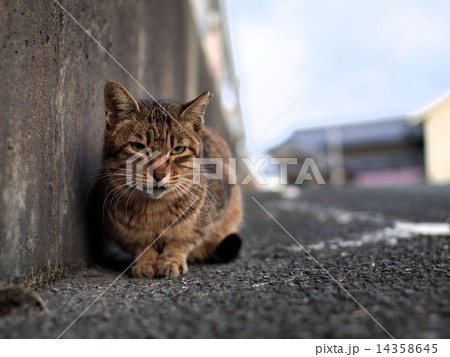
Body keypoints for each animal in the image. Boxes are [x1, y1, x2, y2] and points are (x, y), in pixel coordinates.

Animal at [92, 81, 244, 278]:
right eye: (138, 147)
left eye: (178, 150)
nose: (158, 174)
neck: (153, 211)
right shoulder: (121, 231)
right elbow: (141, 245)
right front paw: (145, 262)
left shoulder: (209, 217)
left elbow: (182, 240)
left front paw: (171, 260)